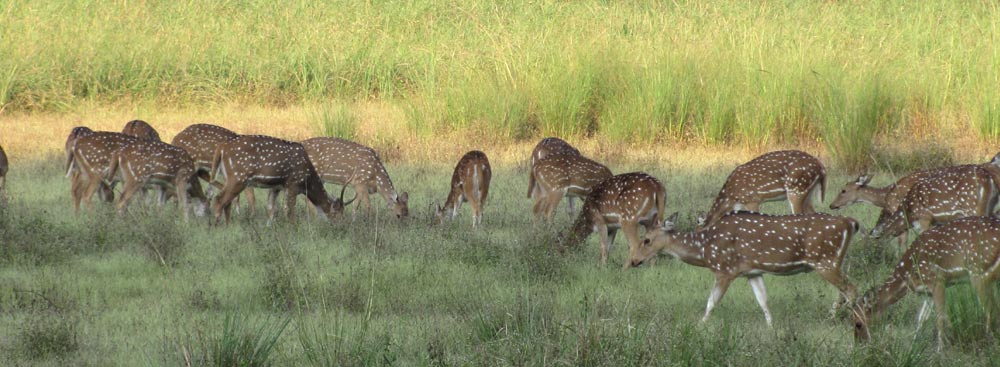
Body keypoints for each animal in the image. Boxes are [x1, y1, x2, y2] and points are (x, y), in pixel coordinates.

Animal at [210, 137, 352, 226]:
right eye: (337, 213)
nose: (343, 226)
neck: (307, 180)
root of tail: (221, 148)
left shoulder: (276, 187)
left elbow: (271, 208)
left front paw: (269, 227)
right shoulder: (293, 184)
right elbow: (289, 210)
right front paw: (294, 229)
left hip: (229, 177)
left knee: (226, 201)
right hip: (238, 177)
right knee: (219, 199)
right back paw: (215, 226)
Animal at [632, 211, 860, 326]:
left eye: (646, 240)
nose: (634, 261)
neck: (705, 250)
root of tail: (851, 223)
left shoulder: (725, 269)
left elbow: (711, 302)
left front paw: (700, 325)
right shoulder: (752, 272)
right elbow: (763, 301)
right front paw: (771, 328)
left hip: (825, 261)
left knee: (851, 289)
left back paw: (839, 319)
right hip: (834, 261)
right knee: (843, 291)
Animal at [852, 216, 1000, 350]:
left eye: (858, 323)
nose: (859, 344)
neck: (907, 276)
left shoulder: (938, 281)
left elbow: (940, 317)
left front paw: (940, 350)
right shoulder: (927, 291)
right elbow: (921, 319)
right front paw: (913, 346)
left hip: (978, 272)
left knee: (990, 309)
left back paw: (988, 342)